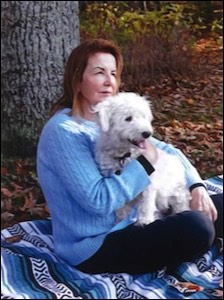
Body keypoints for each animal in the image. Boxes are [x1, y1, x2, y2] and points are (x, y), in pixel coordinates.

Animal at [93, 92, 191, 224]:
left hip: (176, 191)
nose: (147, 133)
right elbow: (121, 207)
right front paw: (121, 220)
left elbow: (146, 203)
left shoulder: (149, 182)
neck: (124, 155)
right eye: (128, 118)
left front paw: (145, 220)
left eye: (144, 117)